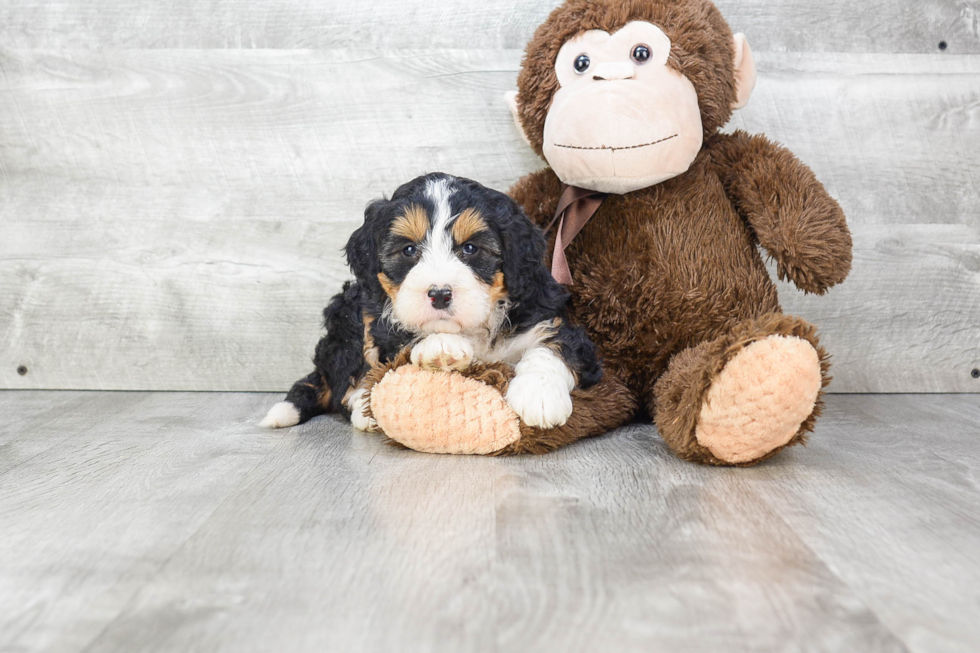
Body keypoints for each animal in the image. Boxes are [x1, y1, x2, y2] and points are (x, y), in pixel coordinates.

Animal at [260, 171, 600, 430]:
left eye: (470, 249)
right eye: (409, 250)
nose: (439, 293)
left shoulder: (548, 315)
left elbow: (554, 345)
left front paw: (539, 394)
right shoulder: (383, 322)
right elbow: (400, 342)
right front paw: (441, 346)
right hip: (350, 315)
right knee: (346, 379)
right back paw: (363, 409)